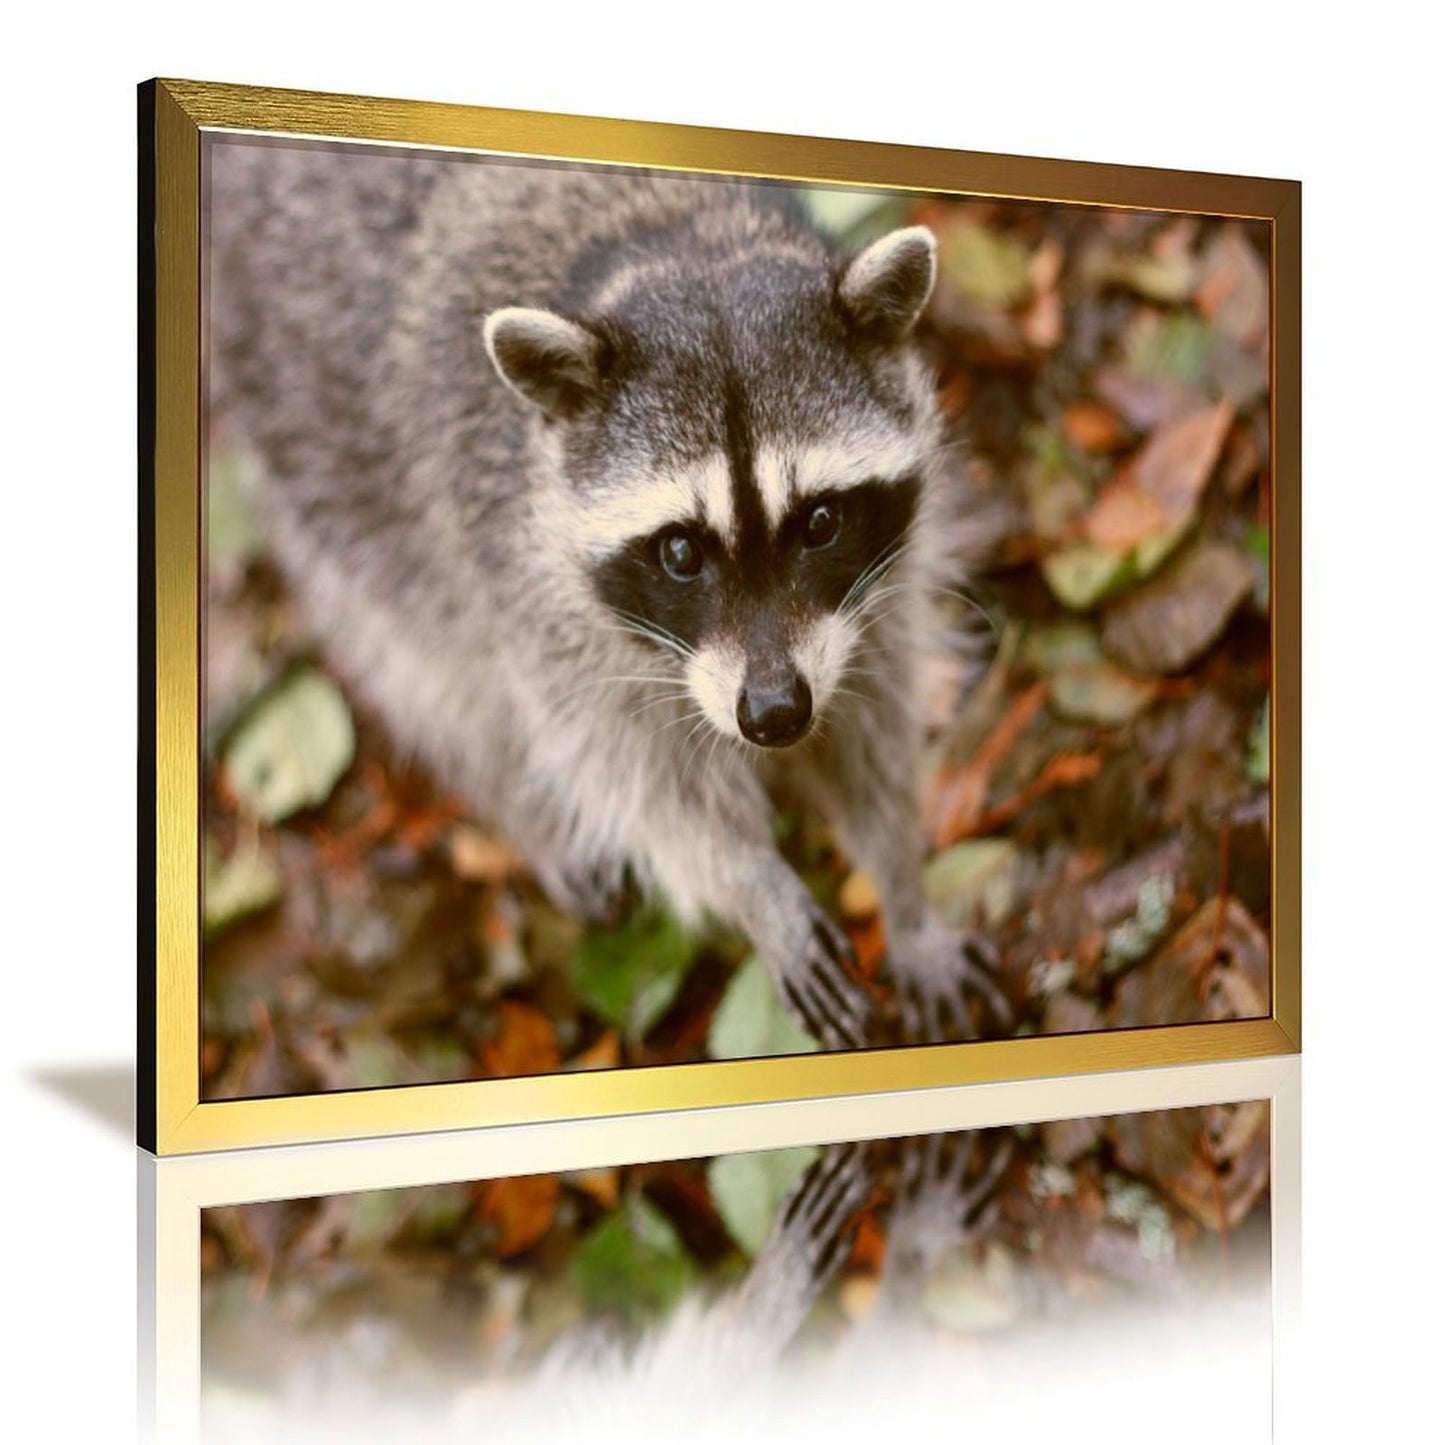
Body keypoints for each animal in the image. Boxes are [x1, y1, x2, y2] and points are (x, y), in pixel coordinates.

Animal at [208, 137, 1009, 1047]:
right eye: (679, 551)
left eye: (820, 522)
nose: (774, 715)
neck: (669, 243)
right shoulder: (518, 569)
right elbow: (647, 781)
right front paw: (752, 883)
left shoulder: (868, 597)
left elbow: (871, 726)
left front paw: (903, 886)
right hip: (323, 472)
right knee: (431, 670)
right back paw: (522, 806)